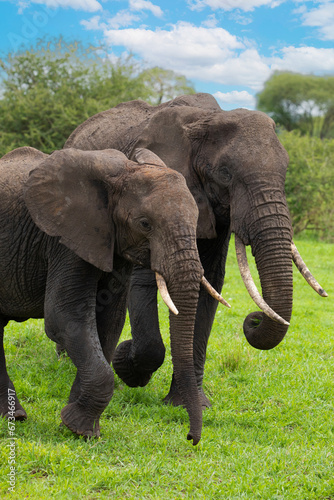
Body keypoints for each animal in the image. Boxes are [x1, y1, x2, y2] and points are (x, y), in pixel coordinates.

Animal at [0, 146, 224, 446]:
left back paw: (15, 416)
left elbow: (109, 321)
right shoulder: (65, 238)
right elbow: (64, 317)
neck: (123, 173)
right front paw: (79, 428)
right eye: (145, 224)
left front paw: (78, 427)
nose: (191, 438)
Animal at [64, 94, 328, 410]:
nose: (252, 320)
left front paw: (190, 404)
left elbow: (210, 281)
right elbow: (145, 281)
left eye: (285, 172)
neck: (206, 120)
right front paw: (127, 368)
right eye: (225, 174)